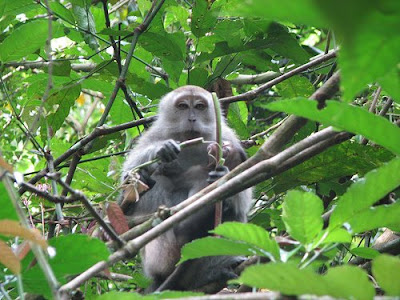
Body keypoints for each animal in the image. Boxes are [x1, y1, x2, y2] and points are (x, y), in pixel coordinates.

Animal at [120, 85, 252, 292]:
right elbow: (127, 192)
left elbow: (242, 198)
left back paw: (209, 272)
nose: (192, 118)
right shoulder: (154, 134)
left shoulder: (226, 137)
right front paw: (160, 150)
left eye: (199, 106)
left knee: (232, 213)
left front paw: (222, 176)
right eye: (183, 106)